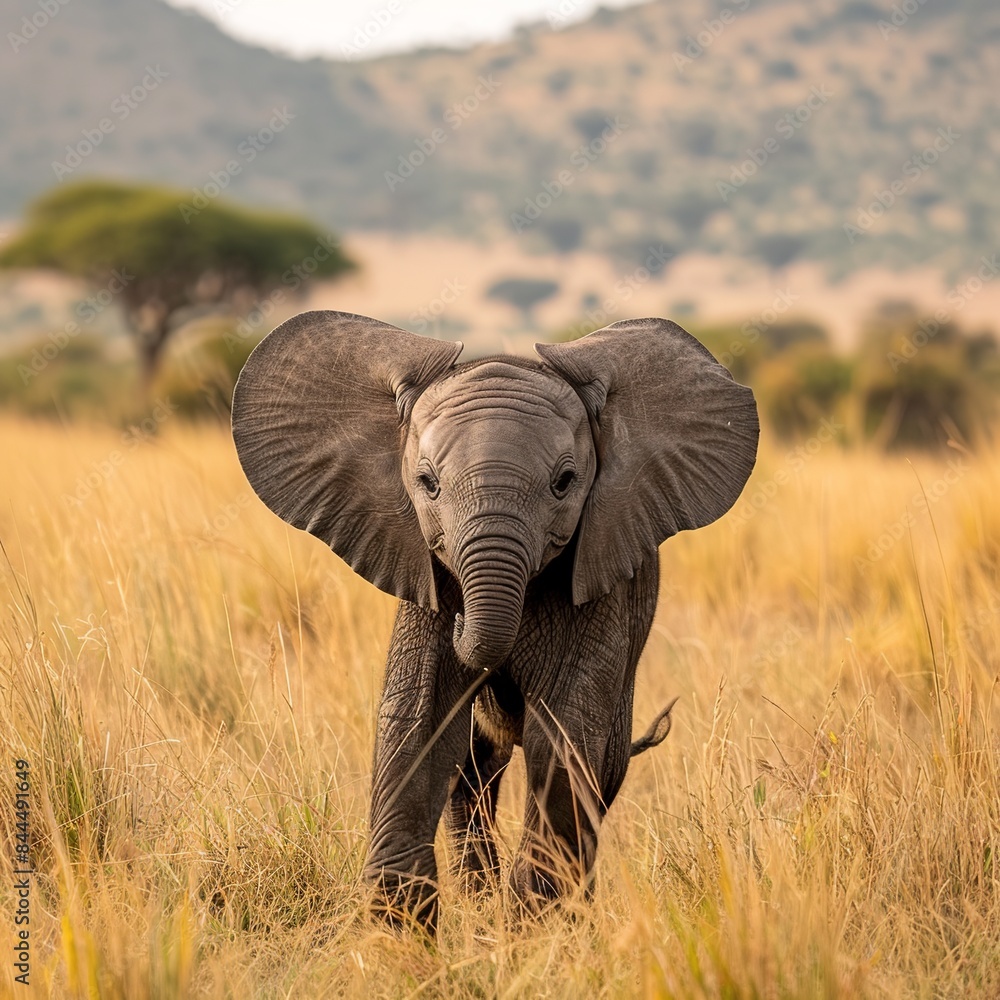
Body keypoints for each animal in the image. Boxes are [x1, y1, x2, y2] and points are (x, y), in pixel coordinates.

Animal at [231, 310, 758, 933]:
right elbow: (418, 721)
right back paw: (481, 904)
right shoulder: (423, 574)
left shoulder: (604, 579)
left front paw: (538, 928)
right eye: (427, 483)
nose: (462, 619)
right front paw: (399, 931)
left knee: (595, 769)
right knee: (472, 775)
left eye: (565, 481)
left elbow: (563, 735)